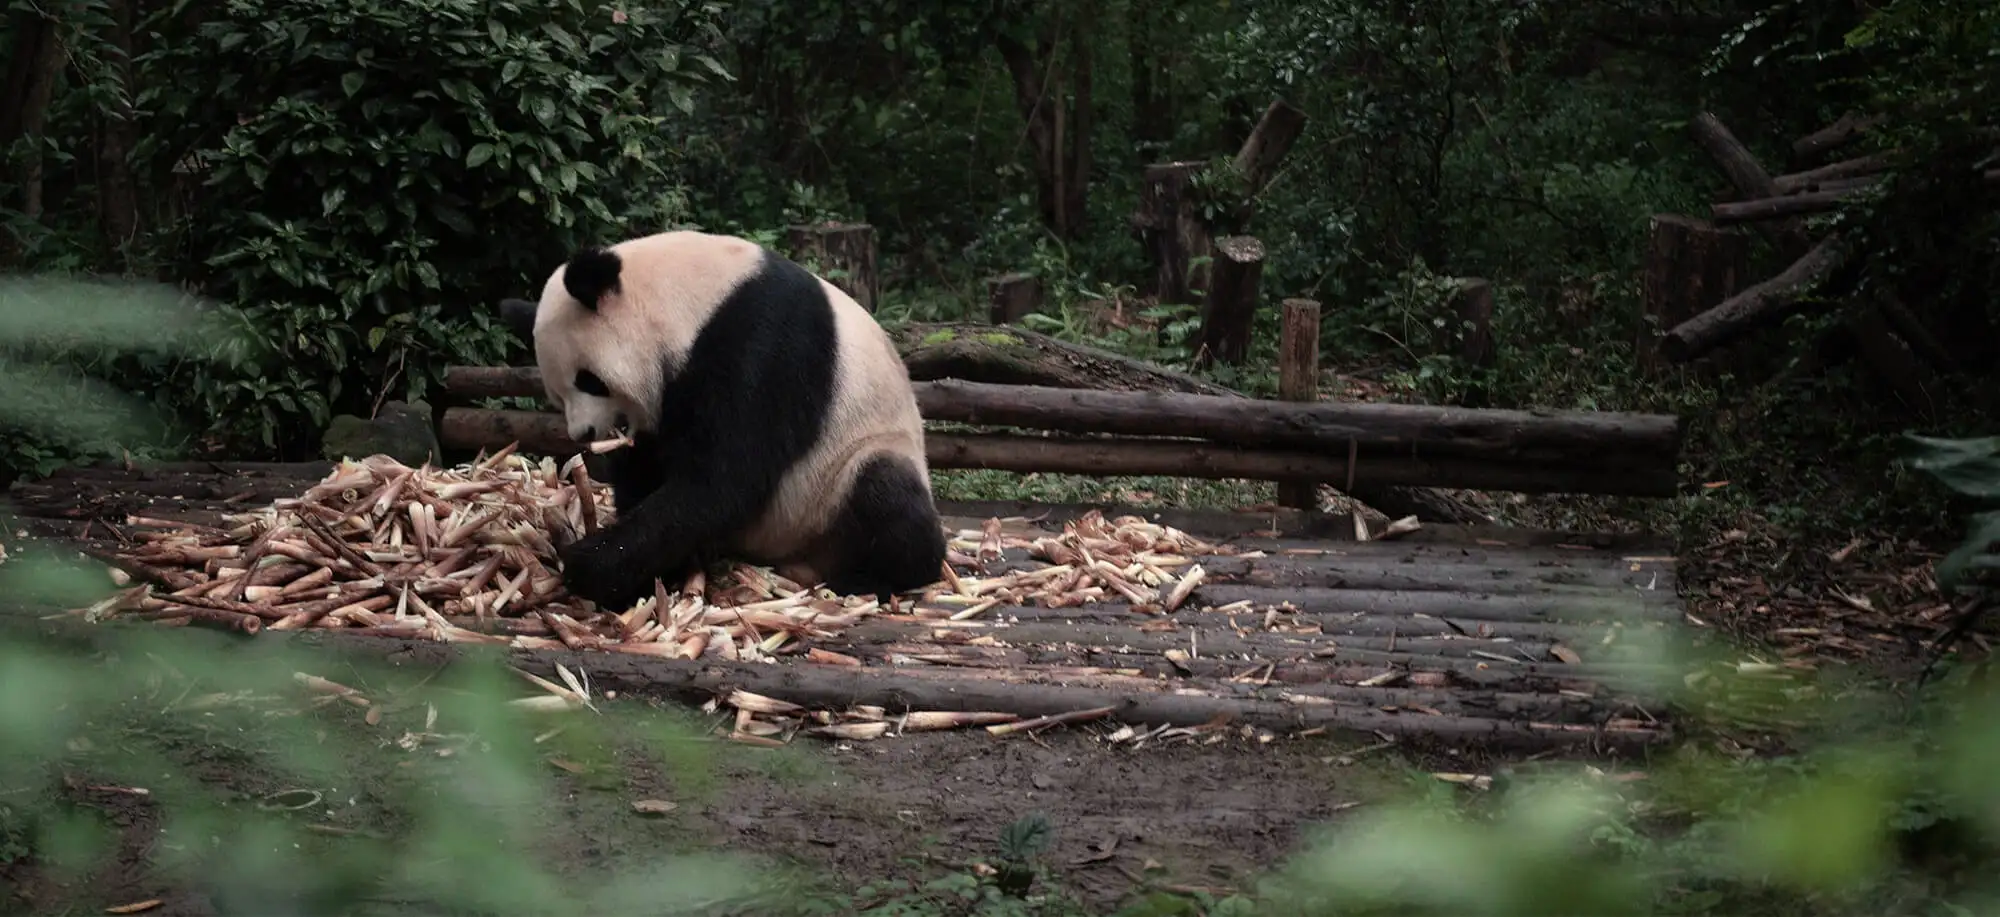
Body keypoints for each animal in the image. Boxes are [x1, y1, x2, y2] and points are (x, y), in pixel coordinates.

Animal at [496, 229, 948, 612]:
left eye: (589, 380)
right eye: (558, 396)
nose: (583, 433)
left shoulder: (763, 342)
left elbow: (726, 477)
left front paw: (590, 564)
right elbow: (652, 467)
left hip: (845, 470)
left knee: (886, 493)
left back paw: (869, 578)